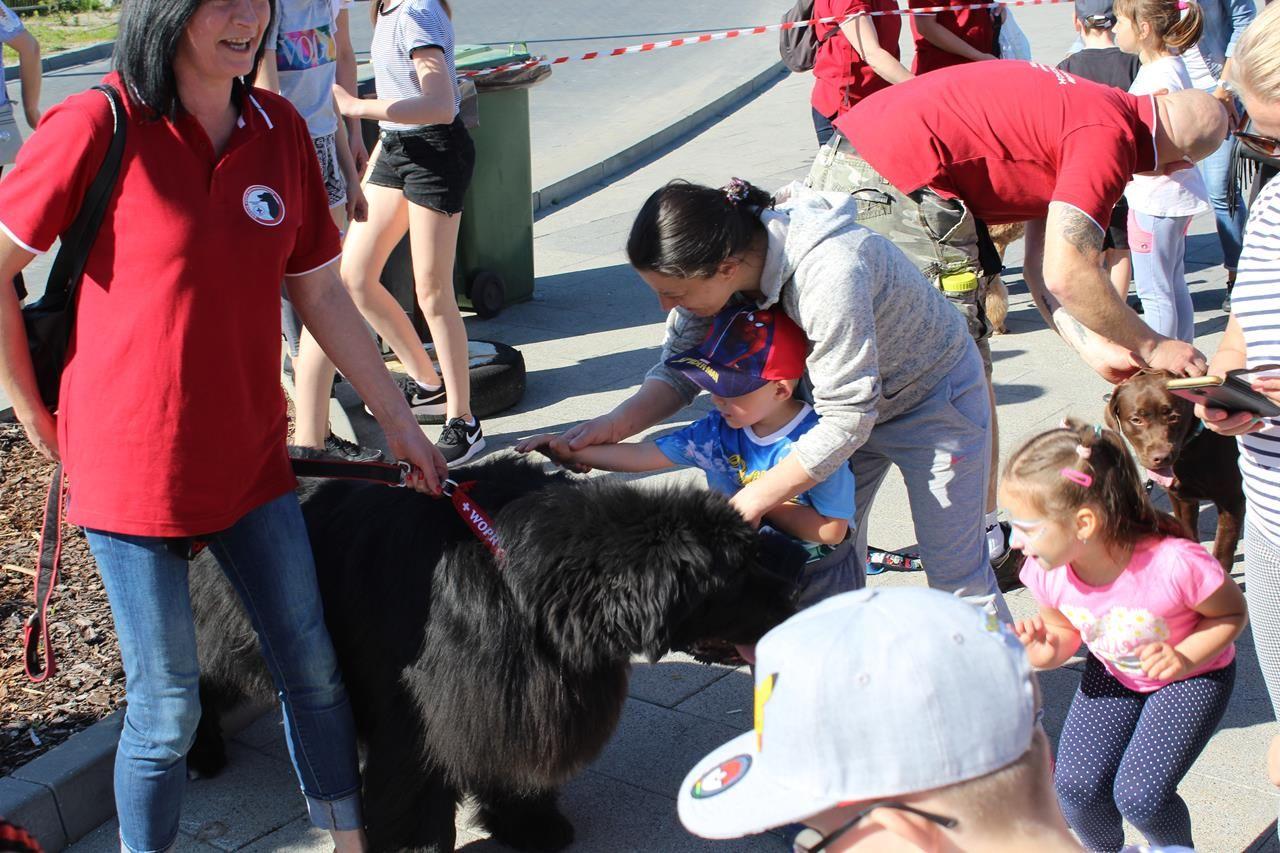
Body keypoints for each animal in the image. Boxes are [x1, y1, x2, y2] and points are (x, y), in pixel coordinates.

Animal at [186, 455, 798, 850]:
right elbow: (414, 792)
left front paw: (529, 825)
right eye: (736, 573)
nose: (793, 593)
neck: (524, 587)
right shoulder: (420, 713)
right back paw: (200, 755)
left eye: (755, 554)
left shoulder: (512, 692)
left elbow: (510, 766)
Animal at [1105, 368, 1244, 568]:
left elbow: (1222, 553)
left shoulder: (1232, 501)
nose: (1161, 457)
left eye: (1173, 417)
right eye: (1136, 419)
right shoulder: (1180, 498)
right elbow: (1189, 533)